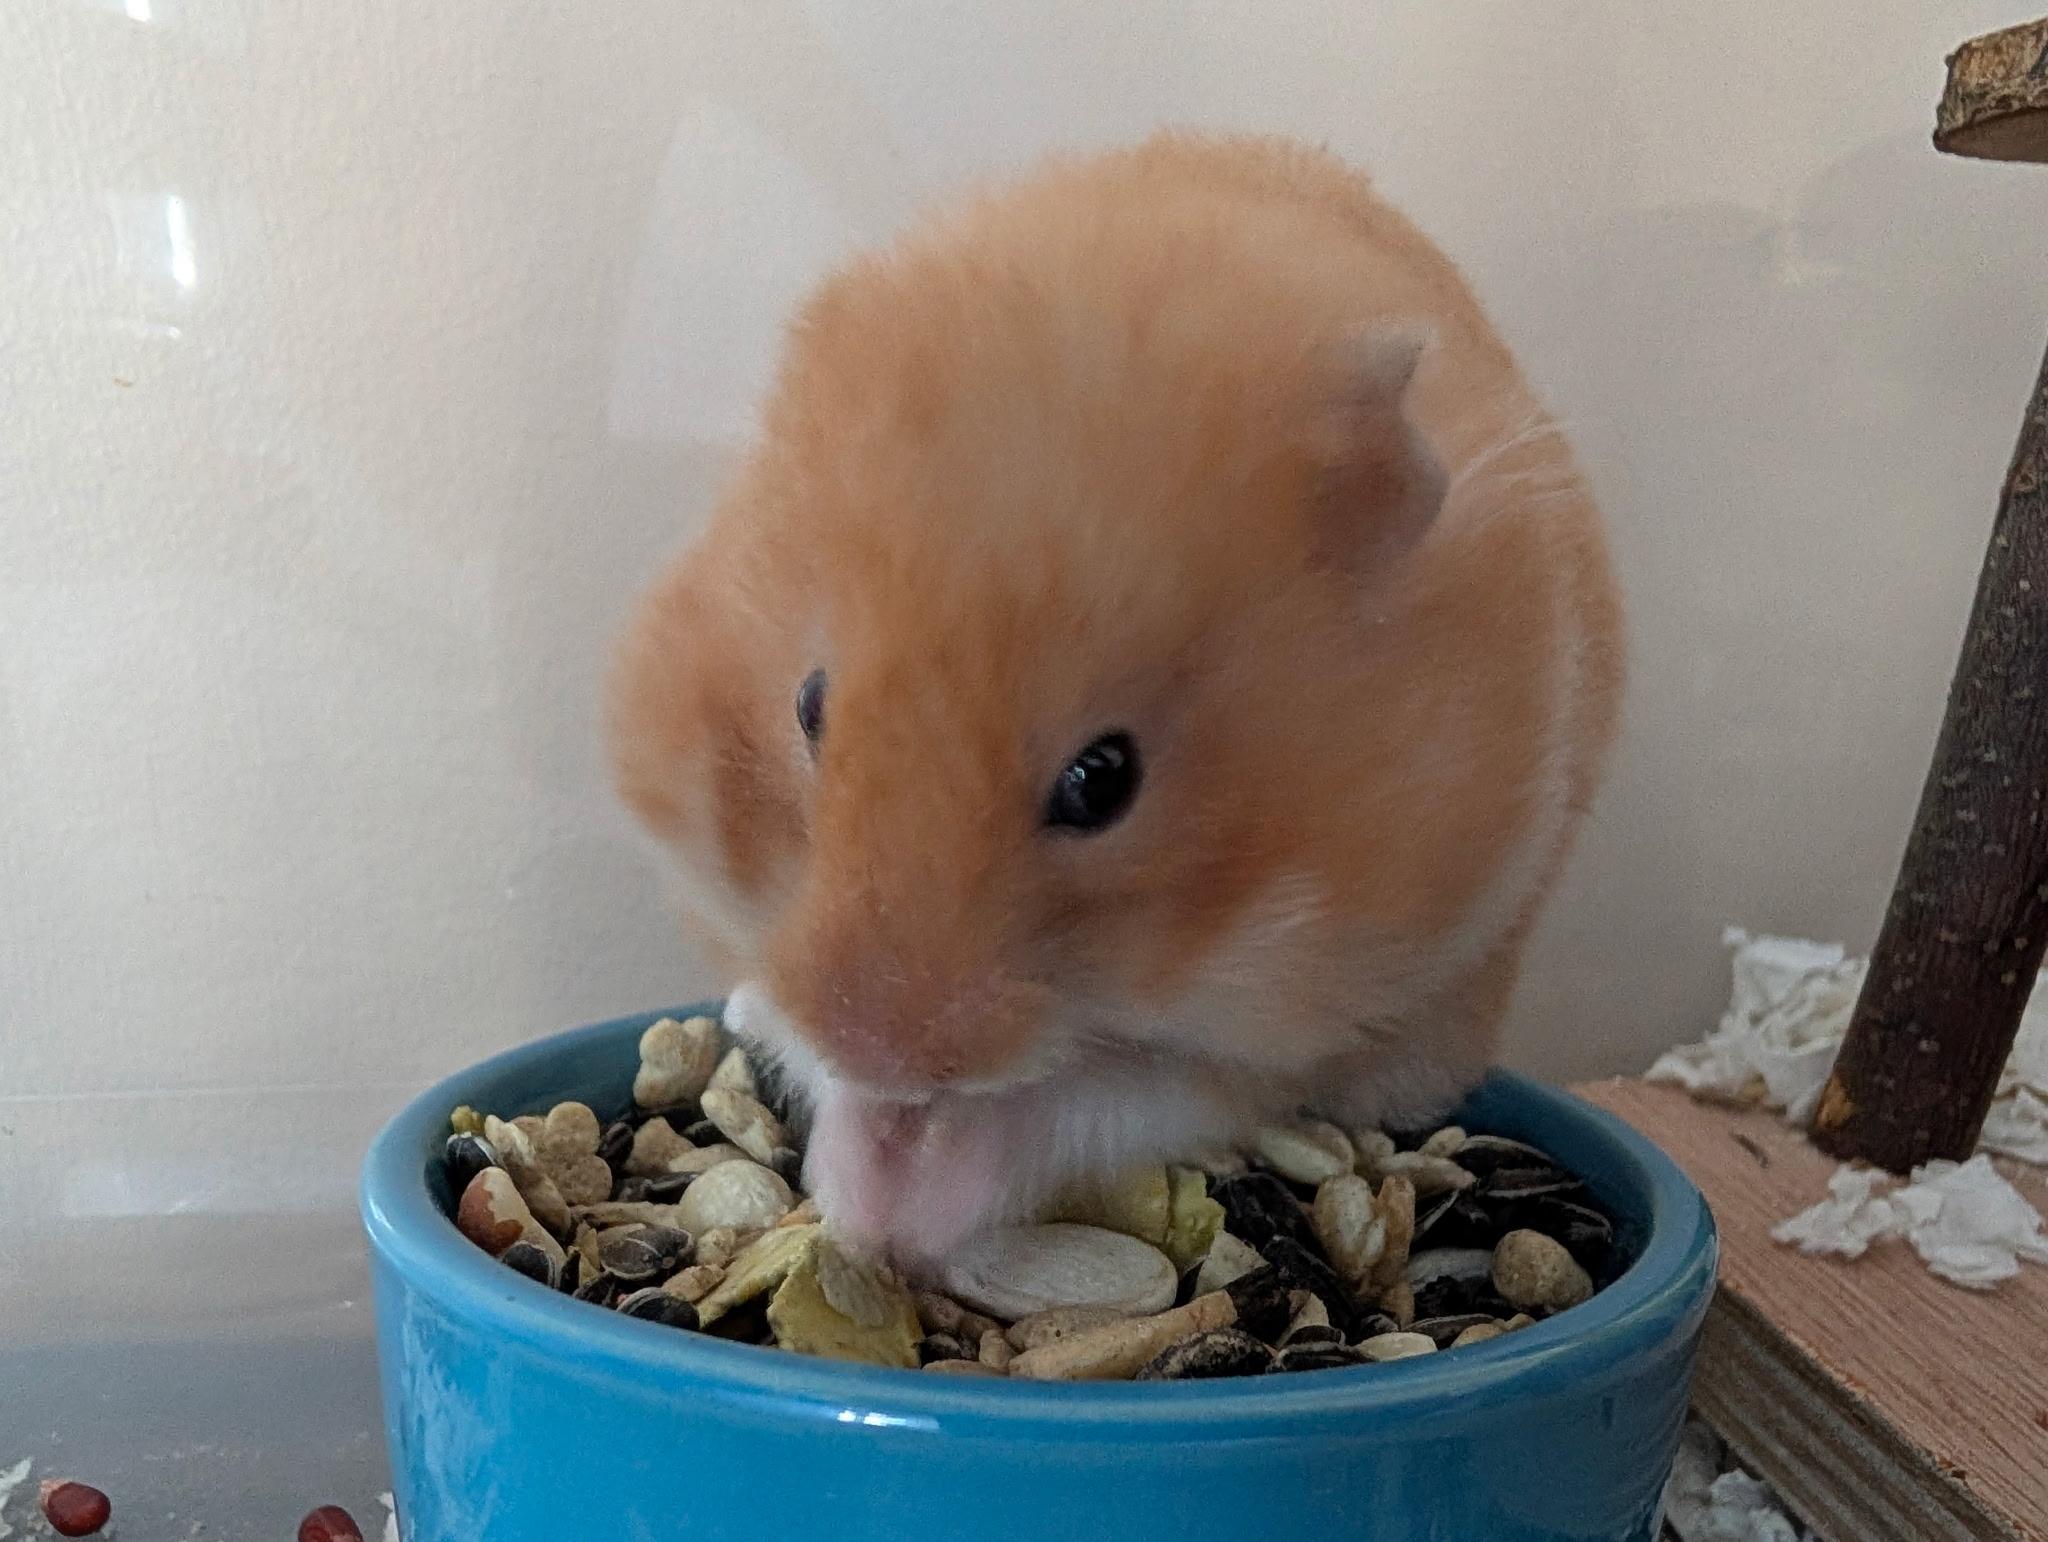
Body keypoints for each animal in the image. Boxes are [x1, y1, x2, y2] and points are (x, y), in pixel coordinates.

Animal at [607, 131, 1622, 1262]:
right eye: (809, 705)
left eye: (1103, 780)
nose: (881, 1048)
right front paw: (859, 1192)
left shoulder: (1286, 1024)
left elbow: (1088, 1095)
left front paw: (899, 1210)